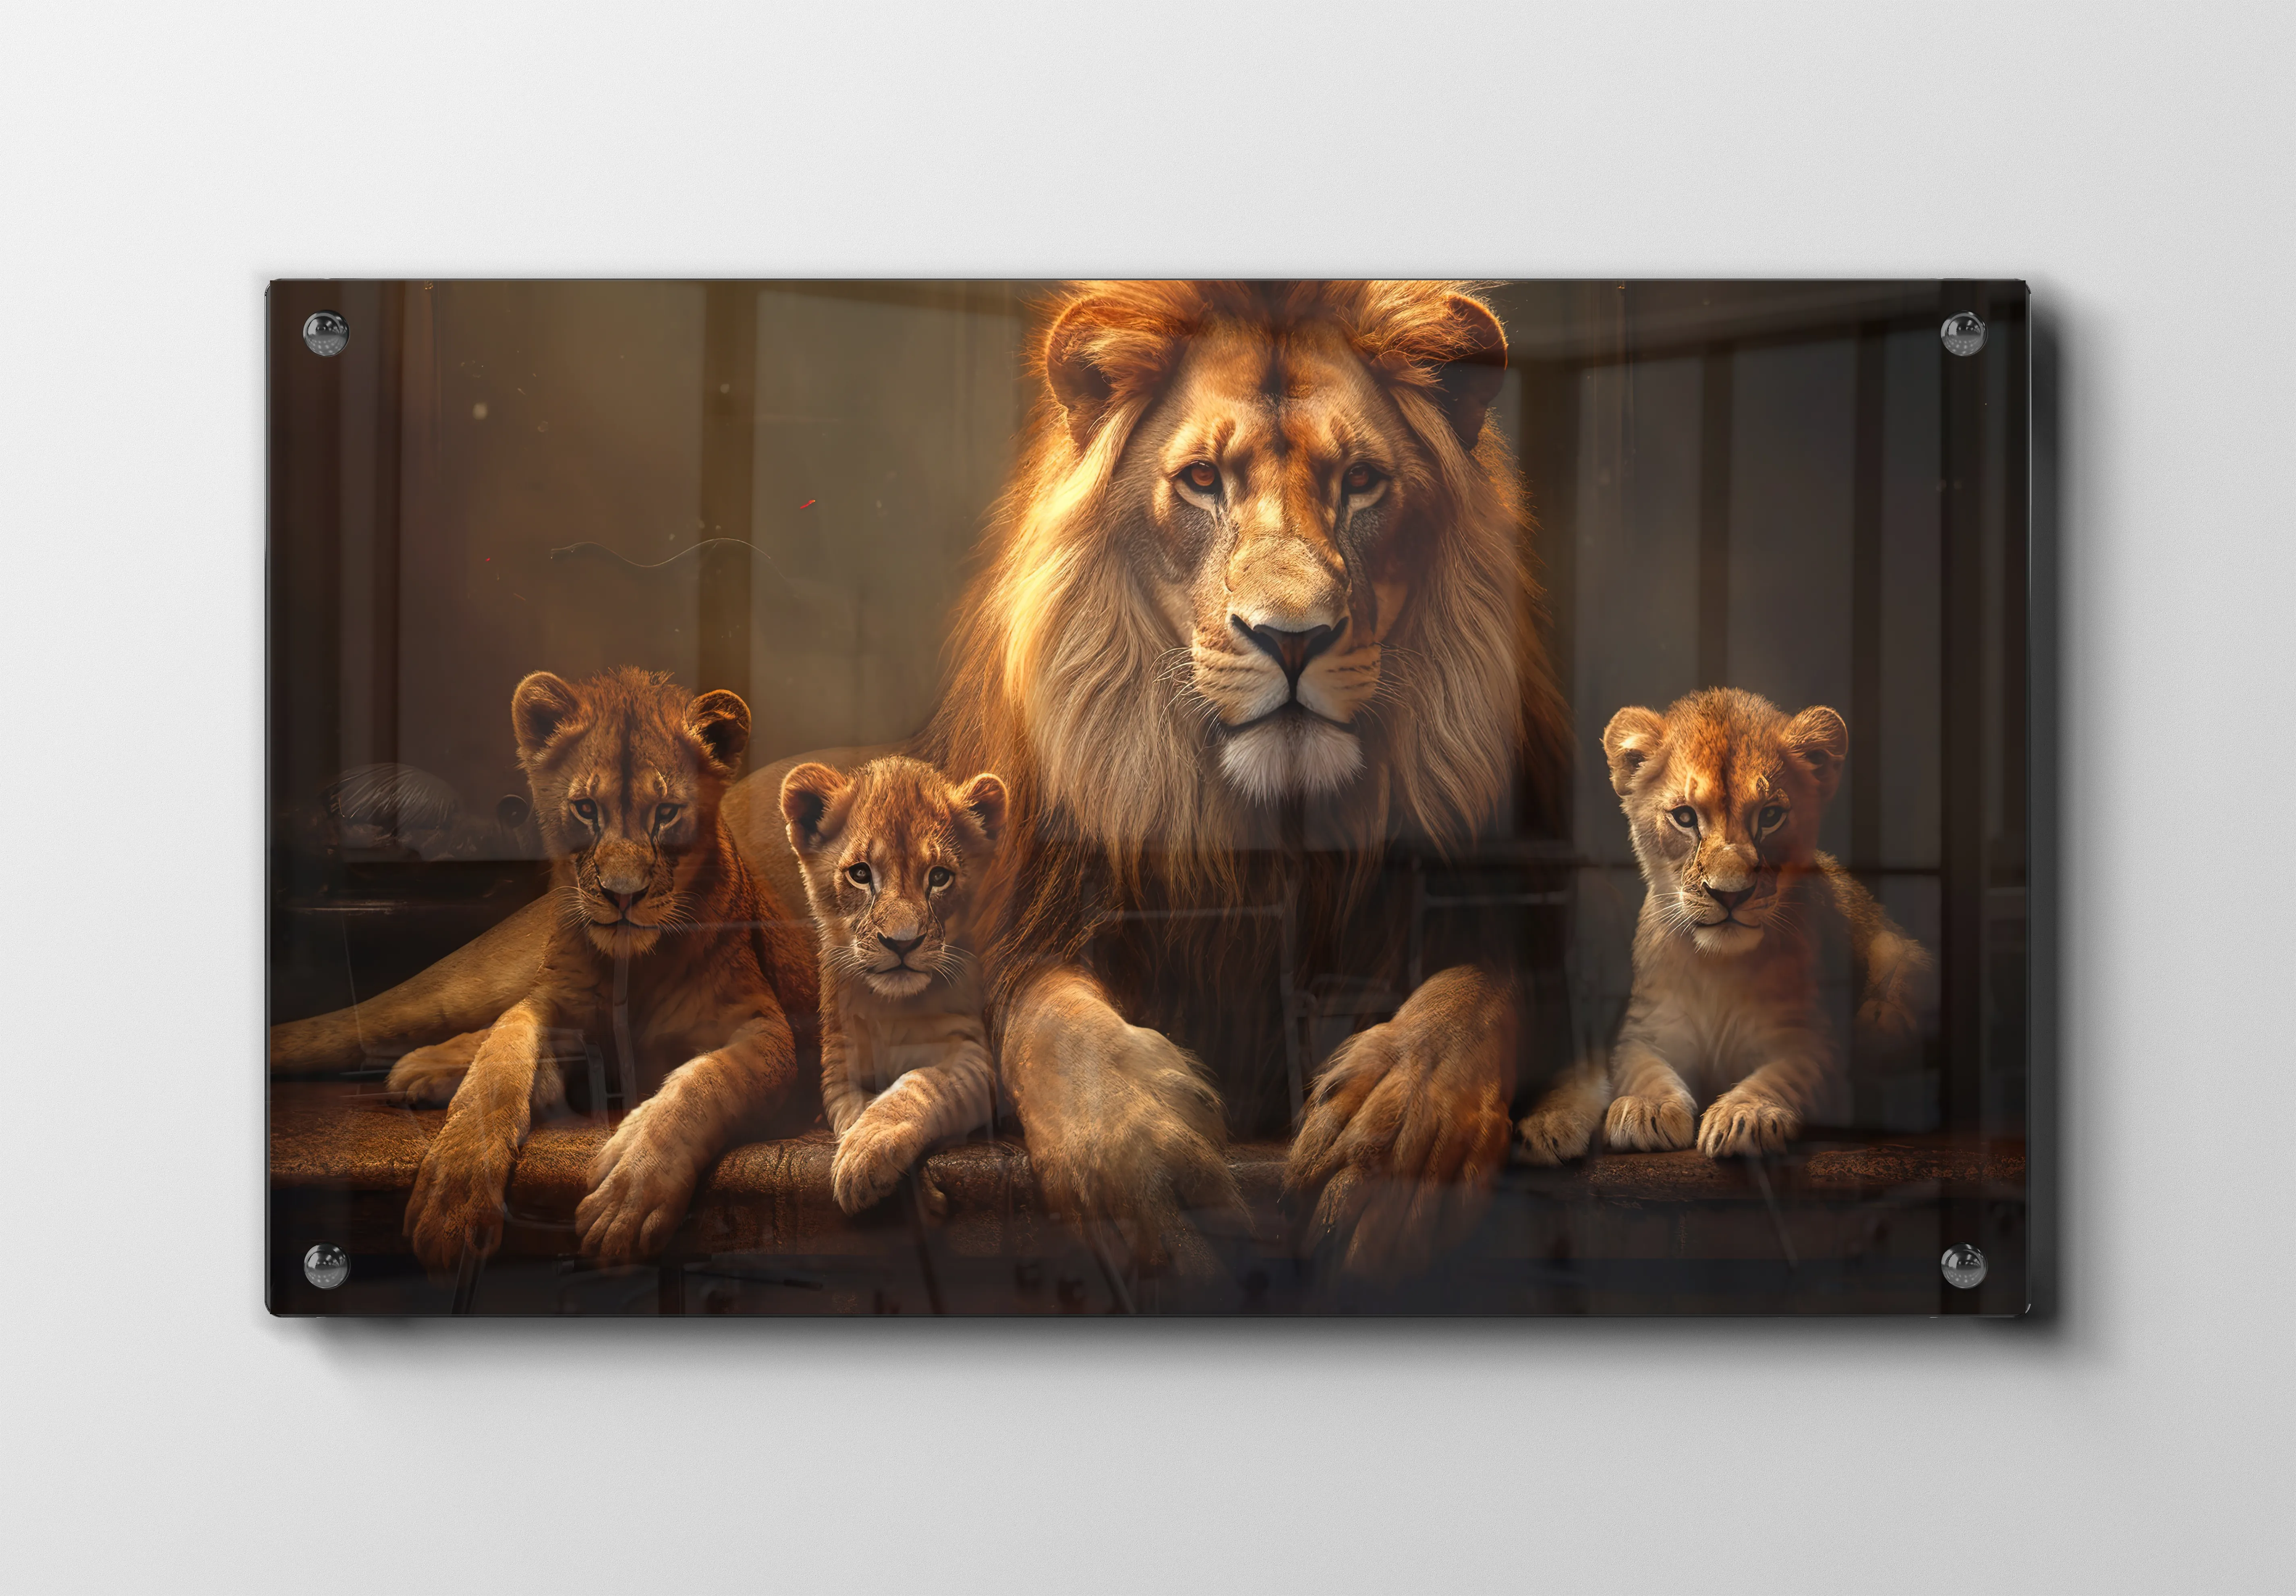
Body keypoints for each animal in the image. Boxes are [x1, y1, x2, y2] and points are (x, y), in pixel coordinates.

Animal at [379, 667, 814, 1272]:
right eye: (586, 809)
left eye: (666, 813)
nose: (622, 895)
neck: (631, 971)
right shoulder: (549, 998)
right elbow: (498, 1061)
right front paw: (454, 1197)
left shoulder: (766, 1028)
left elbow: (706, 1083)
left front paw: (629, 1197)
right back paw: (422, 1067)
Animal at [780, 756, 1013, 1218]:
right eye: (860, 874)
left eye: (939, 877)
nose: (902, 942)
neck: (892, 1009)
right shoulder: (840, 1074)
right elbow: (858, 1113)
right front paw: (869, 1160)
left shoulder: (976, 1061)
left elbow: (920, 1083)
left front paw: (871, 1153)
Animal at [1515, 688, 1932, 1164]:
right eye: (1684, 817)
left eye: (1770, 816)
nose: (1730, 895)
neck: (1719, 968)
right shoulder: (1647, 1030)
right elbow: (1642, 1068)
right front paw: (1646, 1109)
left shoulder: (1808, 1039)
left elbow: (1781, 1077)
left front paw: (1745, 1115)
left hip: (1900, 949)